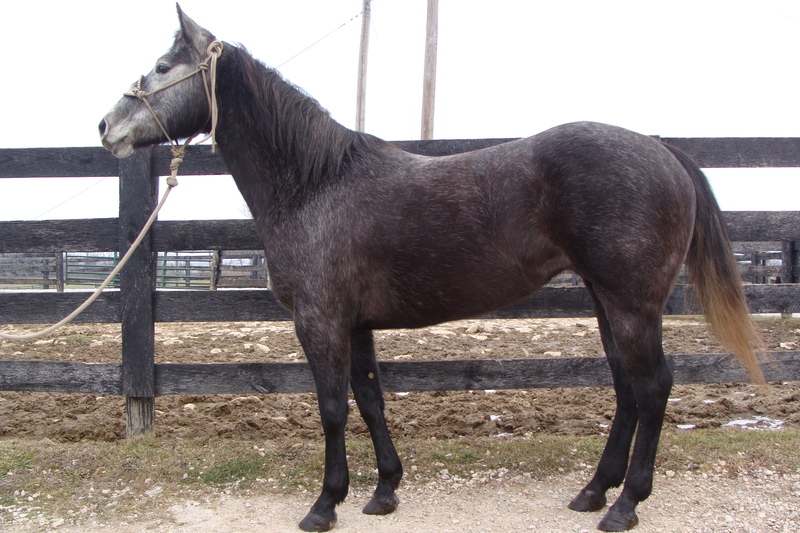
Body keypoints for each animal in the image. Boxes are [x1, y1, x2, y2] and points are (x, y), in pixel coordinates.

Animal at [99, 7, 764, 532]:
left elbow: (333, 407)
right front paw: (384, 491)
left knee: (652, 388)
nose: (106, 127)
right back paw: (593, 491)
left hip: (631, 304)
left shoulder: (320, 322)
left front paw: (324, 505)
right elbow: (370, 399)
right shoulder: (355, 325)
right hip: (607, 302)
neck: (316, 184)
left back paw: (625, 506)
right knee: (627, 389)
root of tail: (661, 148)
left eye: (164, 65)